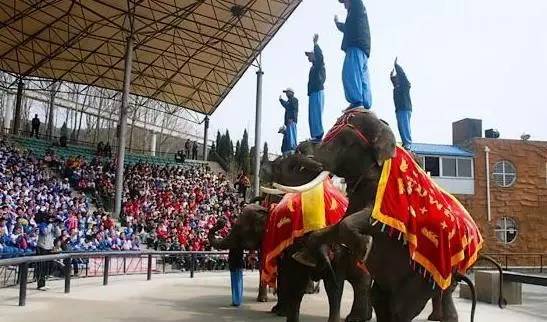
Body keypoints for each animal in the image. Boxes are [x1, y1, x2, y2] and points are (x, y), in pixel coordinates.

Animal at [272, 109, 506, 322]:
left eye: (346, 141)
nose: (300, 147)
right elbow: (337, 225)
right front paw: (305, 255)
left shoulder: (391, 200)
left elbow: (365, 221)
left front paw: (365, 247)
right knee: (382, 302)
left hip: (422, 281)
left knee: (403, 310)